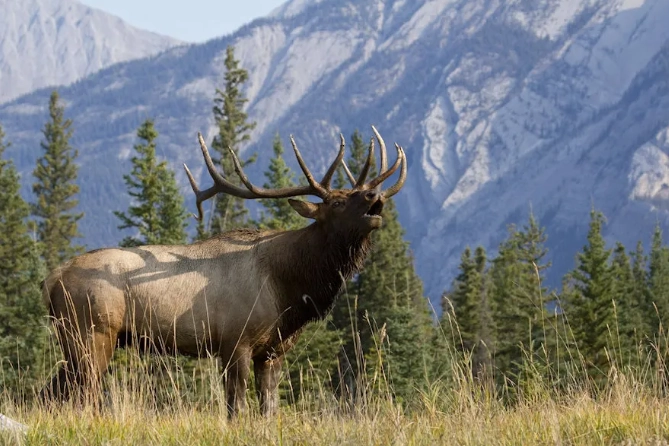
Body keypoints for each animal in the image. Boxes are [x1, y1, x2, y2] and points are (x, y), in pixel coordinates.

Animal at [40, 127, 406, 417]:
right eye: (338, 203)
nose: (374, 195)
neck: (289, 290)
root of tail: (52, 277)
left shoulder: (272, 351)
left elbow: (269, 410)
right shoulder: (235, 341)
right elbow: (236, 408)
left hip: (74, 339)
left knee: (53, 391)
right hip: (92, 332)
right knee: (82, 394)